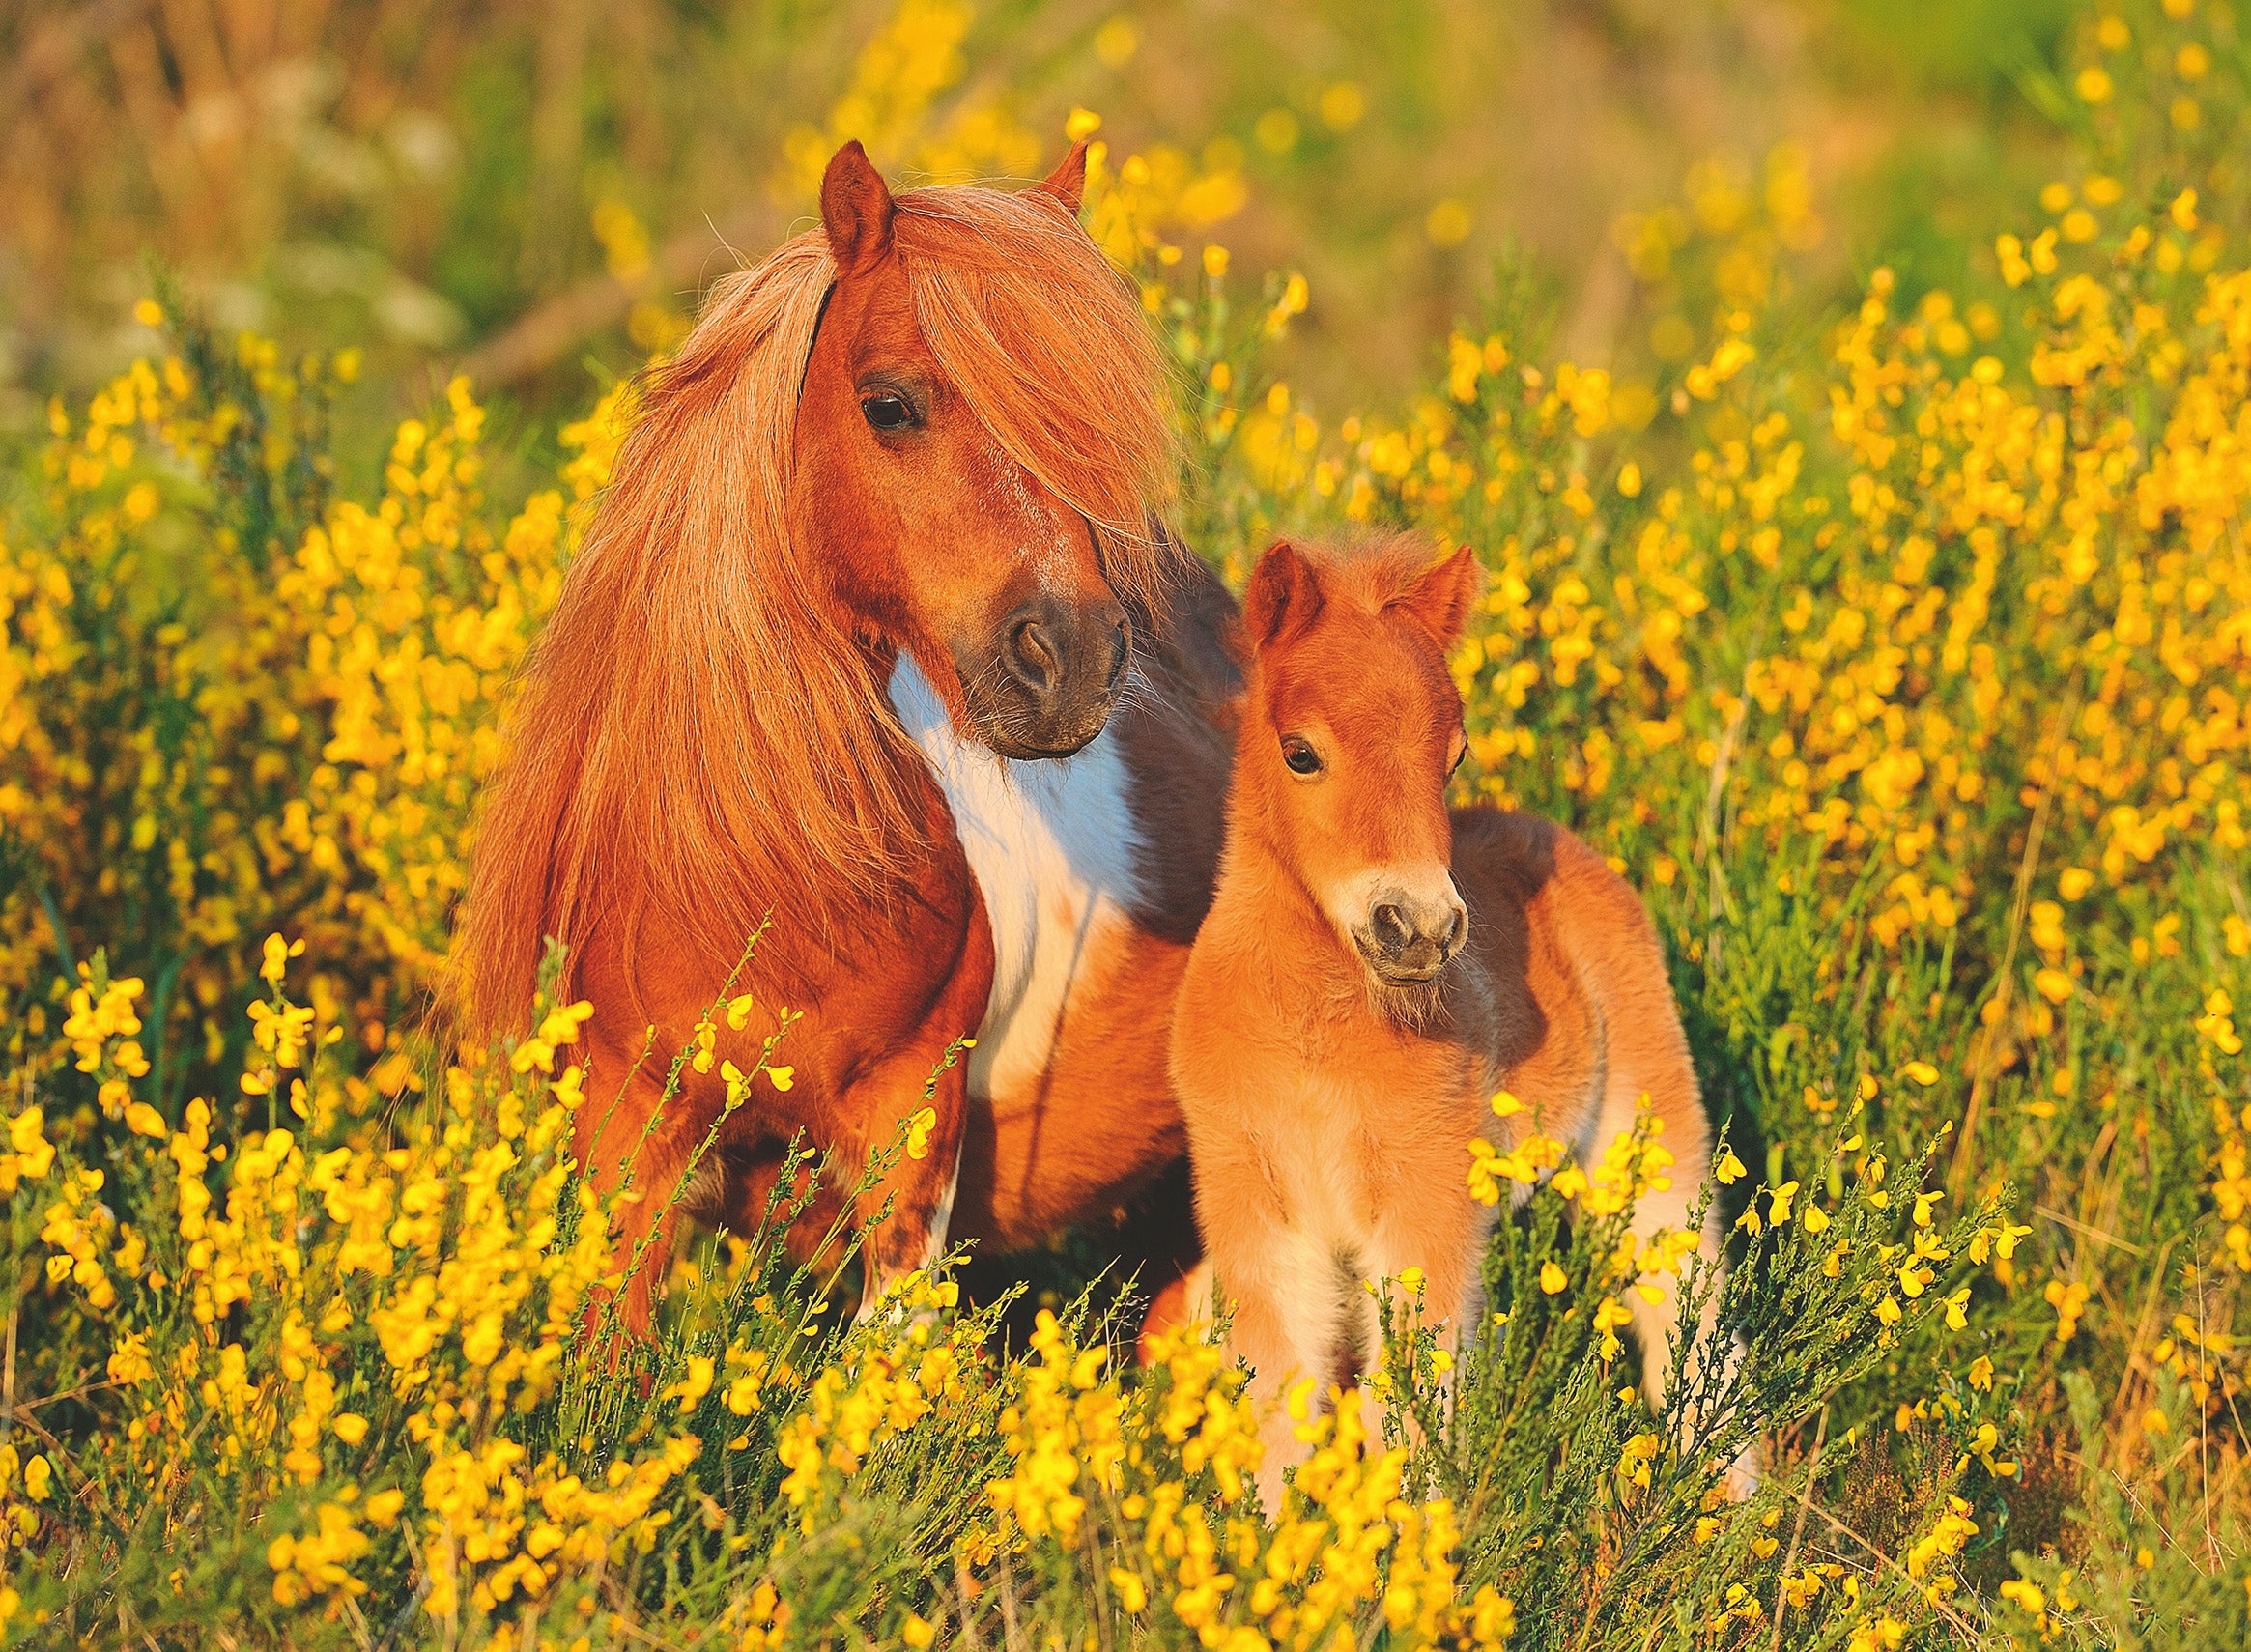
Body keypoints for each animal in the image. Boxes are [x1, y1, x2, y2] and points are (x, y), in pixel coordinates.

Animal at [1170, 537, 1728, 1503]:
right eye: (1300, 753)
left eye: (1453, 757)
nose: (1420, 927)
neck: (1312, 1037)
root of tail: (1556, 835)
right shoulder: (1259, 1212)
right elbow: (1280, 1407)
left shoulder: (1421, 1204)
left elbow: (1409, 1413)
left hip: (1650, 1124)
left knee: (1689, 1307)